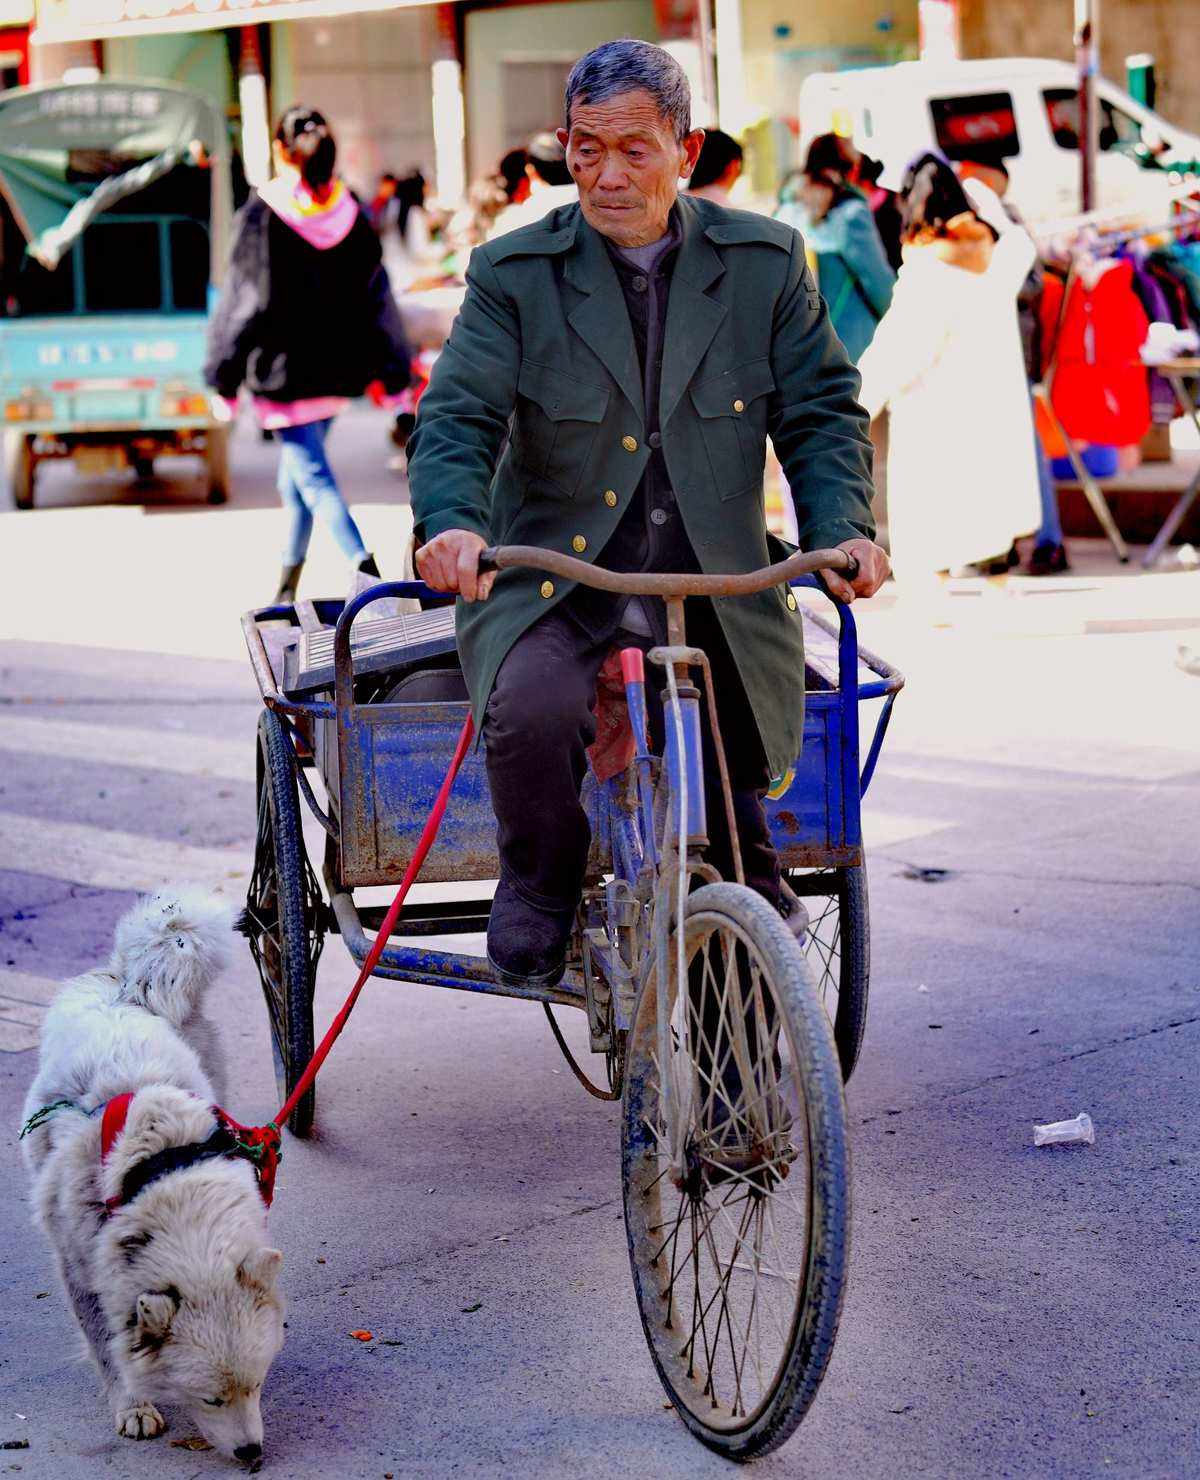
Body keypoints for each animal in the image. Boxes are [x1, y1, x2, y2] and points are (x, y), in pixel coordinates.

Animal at [20, 888, 284, 1468]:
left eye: (256, 1385)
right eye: (210, 1399)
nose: (252, 1454)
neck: (156, 1168)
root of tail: (128, 986)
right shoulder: (81, 1269)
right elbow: (108, 1346)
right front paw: (132, 1404)